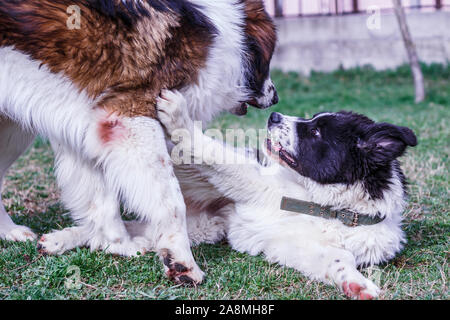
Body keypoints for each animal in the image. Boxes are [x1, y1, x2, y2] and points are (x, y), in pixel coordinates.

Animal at [0, 0, 278, 284]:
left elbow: (104, 200)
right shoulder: (130, 120)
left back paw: (11, 232)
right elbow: (170, 199)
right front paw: (182, 260)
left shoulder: (93, 128)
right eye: (268, 60)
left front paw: (117, 244)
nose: (276, 97)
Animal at [154, 90, 414, 300]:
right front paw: (179, 118)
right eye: (313, 120)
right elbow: (214, 152)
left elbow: (339, 259)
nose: (274, 116)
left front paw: (356, 284)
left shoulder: (297, 245)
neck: (325, 207)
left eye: (316, 132)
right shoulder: (258, 181)